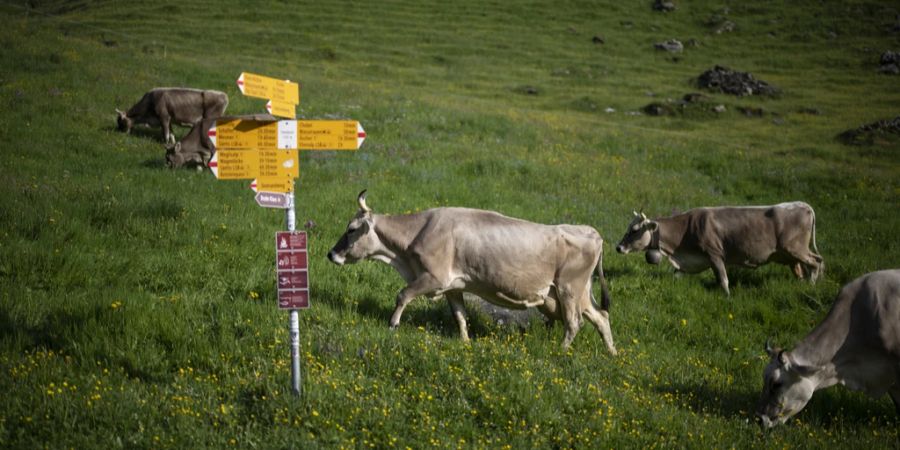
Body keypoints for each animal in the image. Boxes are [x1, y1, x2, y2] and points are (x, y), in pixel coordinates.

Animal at [326, 190, 616, 356]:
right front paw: (465, 342)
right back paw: (612, 353)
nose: (331, 254)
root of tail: (591, 231)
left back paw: (561, 351)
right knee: (601, 317)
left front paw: (392, 324)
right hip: (577, 293)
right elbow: (460, 316)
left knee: (574, 323)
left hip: (569, 290)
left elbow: (403, 295)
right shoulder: (453, 286)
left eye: (351, 229)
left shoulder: (433, 277)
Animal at [616, 203, 828, 296]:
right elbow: (676, 276)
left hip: (795, 248)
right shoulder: (688, 262)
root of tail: (803, 205)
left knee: (816, 261)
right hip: (791, 255)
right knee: (809, 266)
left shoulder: (715, 255)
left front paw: (727, 298)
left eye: (634, 230)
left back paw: (812, 285)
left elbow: (723, 280)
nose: (618, 247)